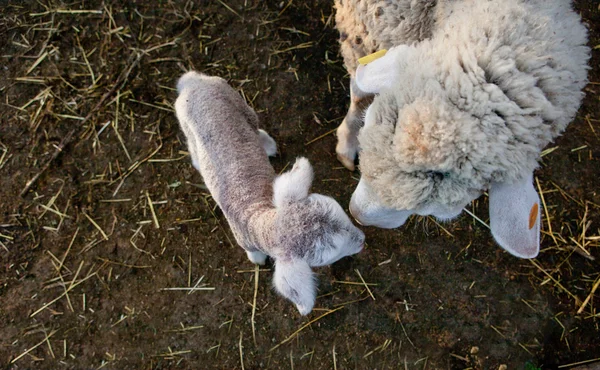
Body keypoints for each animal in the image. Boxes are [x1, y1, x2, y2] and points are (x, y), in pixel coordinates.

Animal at [173, 71, 366, 316]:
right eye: (330, 254)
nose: (362, 240)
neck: (257, 214)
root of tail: (193, 81)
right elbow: (255, 256)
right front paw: (257, 259)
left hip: (238, 102)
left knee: (254, 126)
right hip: (188, 122)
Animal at [332, 0, 592, 258]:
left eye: (437, 211)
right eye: (370, 120)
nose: (356, 214)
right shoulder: (364, 30)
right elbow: (360, 92)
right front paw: (348, 142)